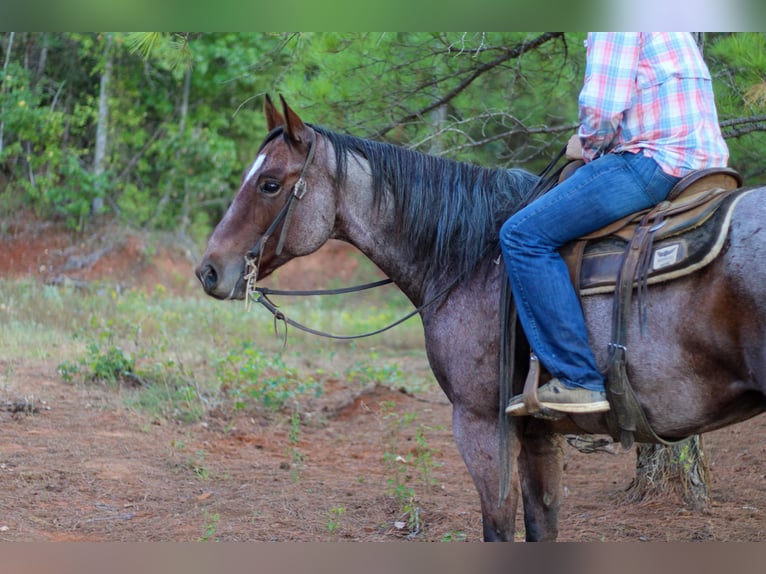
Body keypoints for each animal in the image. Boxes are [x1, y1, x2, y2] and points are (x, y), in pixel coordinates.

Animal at [196, 95, 766, 544]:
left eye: (270, 184)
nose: (209, 270)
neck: (473, 259)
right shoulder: (539, 430)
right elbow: (541, 525)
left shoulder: (479, 423)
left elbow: (499, 526)